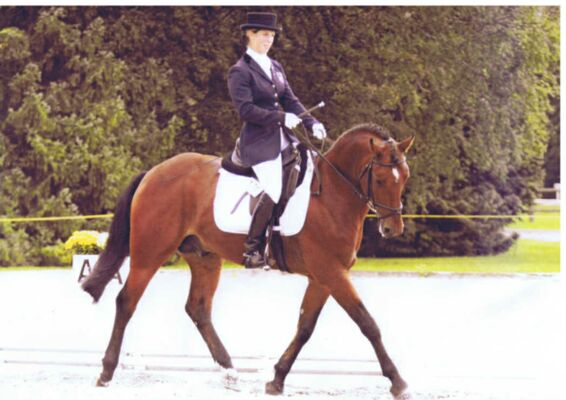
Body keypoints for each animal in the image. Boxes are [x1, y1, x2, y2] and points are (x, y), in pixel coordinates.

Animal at [81, 123, 415, 399]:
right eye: (381, 179)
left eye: (405, 178)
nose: (392, 229)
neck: (331, 194)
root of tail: (153, 172)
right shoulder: (331, 272)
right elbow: (367, 323)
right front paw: (397, 382)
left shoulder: (323, 276)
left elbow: (305, 327)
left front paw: (277, 379)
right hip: (150, 253)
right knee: (126, 302)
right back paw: (106, 372)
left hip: (205, 257)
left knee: (198, 309)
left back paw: (229, 371)